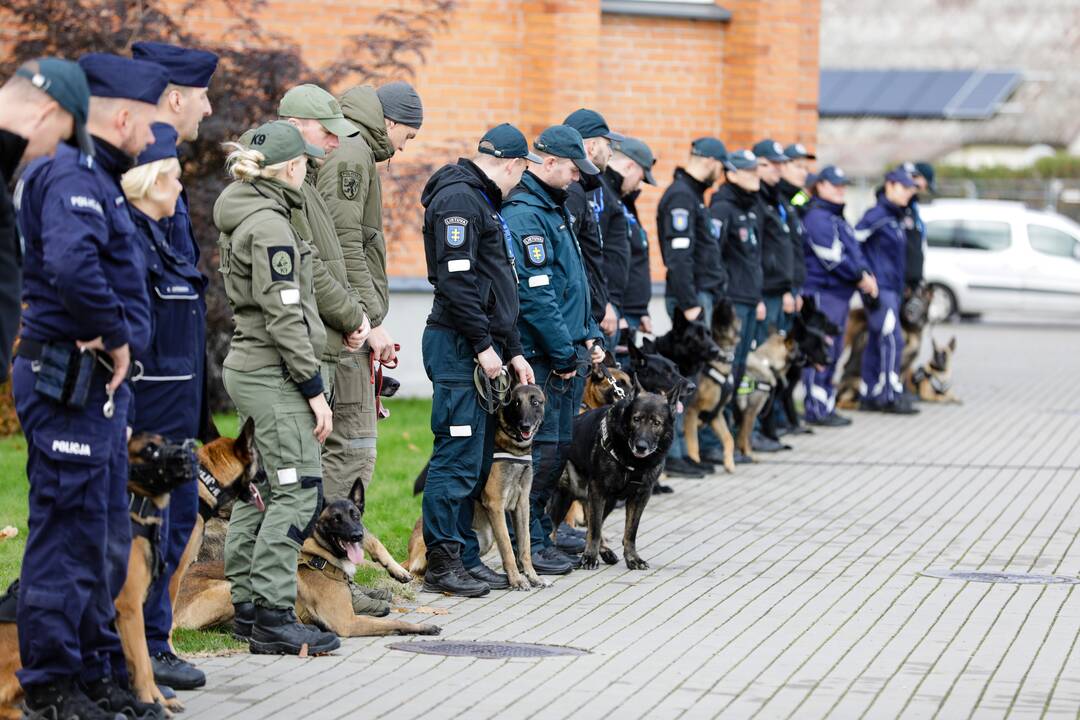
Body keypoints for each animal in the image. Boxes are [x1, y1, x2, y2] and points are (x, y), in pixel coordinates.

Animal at [406, 382, 544, 591]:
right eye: (515, 403)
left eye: (535, 402)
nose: (525, 426)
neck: (513, 447)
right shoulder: (496, 505)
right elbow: (507, 548)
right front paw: (517, 579)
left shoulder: (522, 504)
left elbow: (525, 545)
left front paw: (533, 576)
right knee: (419, 567)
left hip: (484, 539)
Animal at [552, 390, 678, 569]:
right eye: (636, 419)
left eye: (656, 423)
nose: (641, 447)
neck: (633, 461)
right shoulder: (598, 490)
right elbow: (595, 530)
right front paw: (590, 557)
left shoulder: (640, 497)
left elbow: (630, 532)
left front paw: (632, 558)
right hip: (562, 497)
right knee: (552, 532)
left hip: (608, 501)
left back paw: (605, 551)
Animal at [682, 297, 743, 472]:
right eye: (716, 309)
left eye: (732, 311)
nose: (724, 299)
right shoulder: (691, 413)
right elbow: (693, 445)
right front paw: (696, 463)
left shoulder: (716, 415)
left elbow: (729, 438)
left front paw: (729, 463)